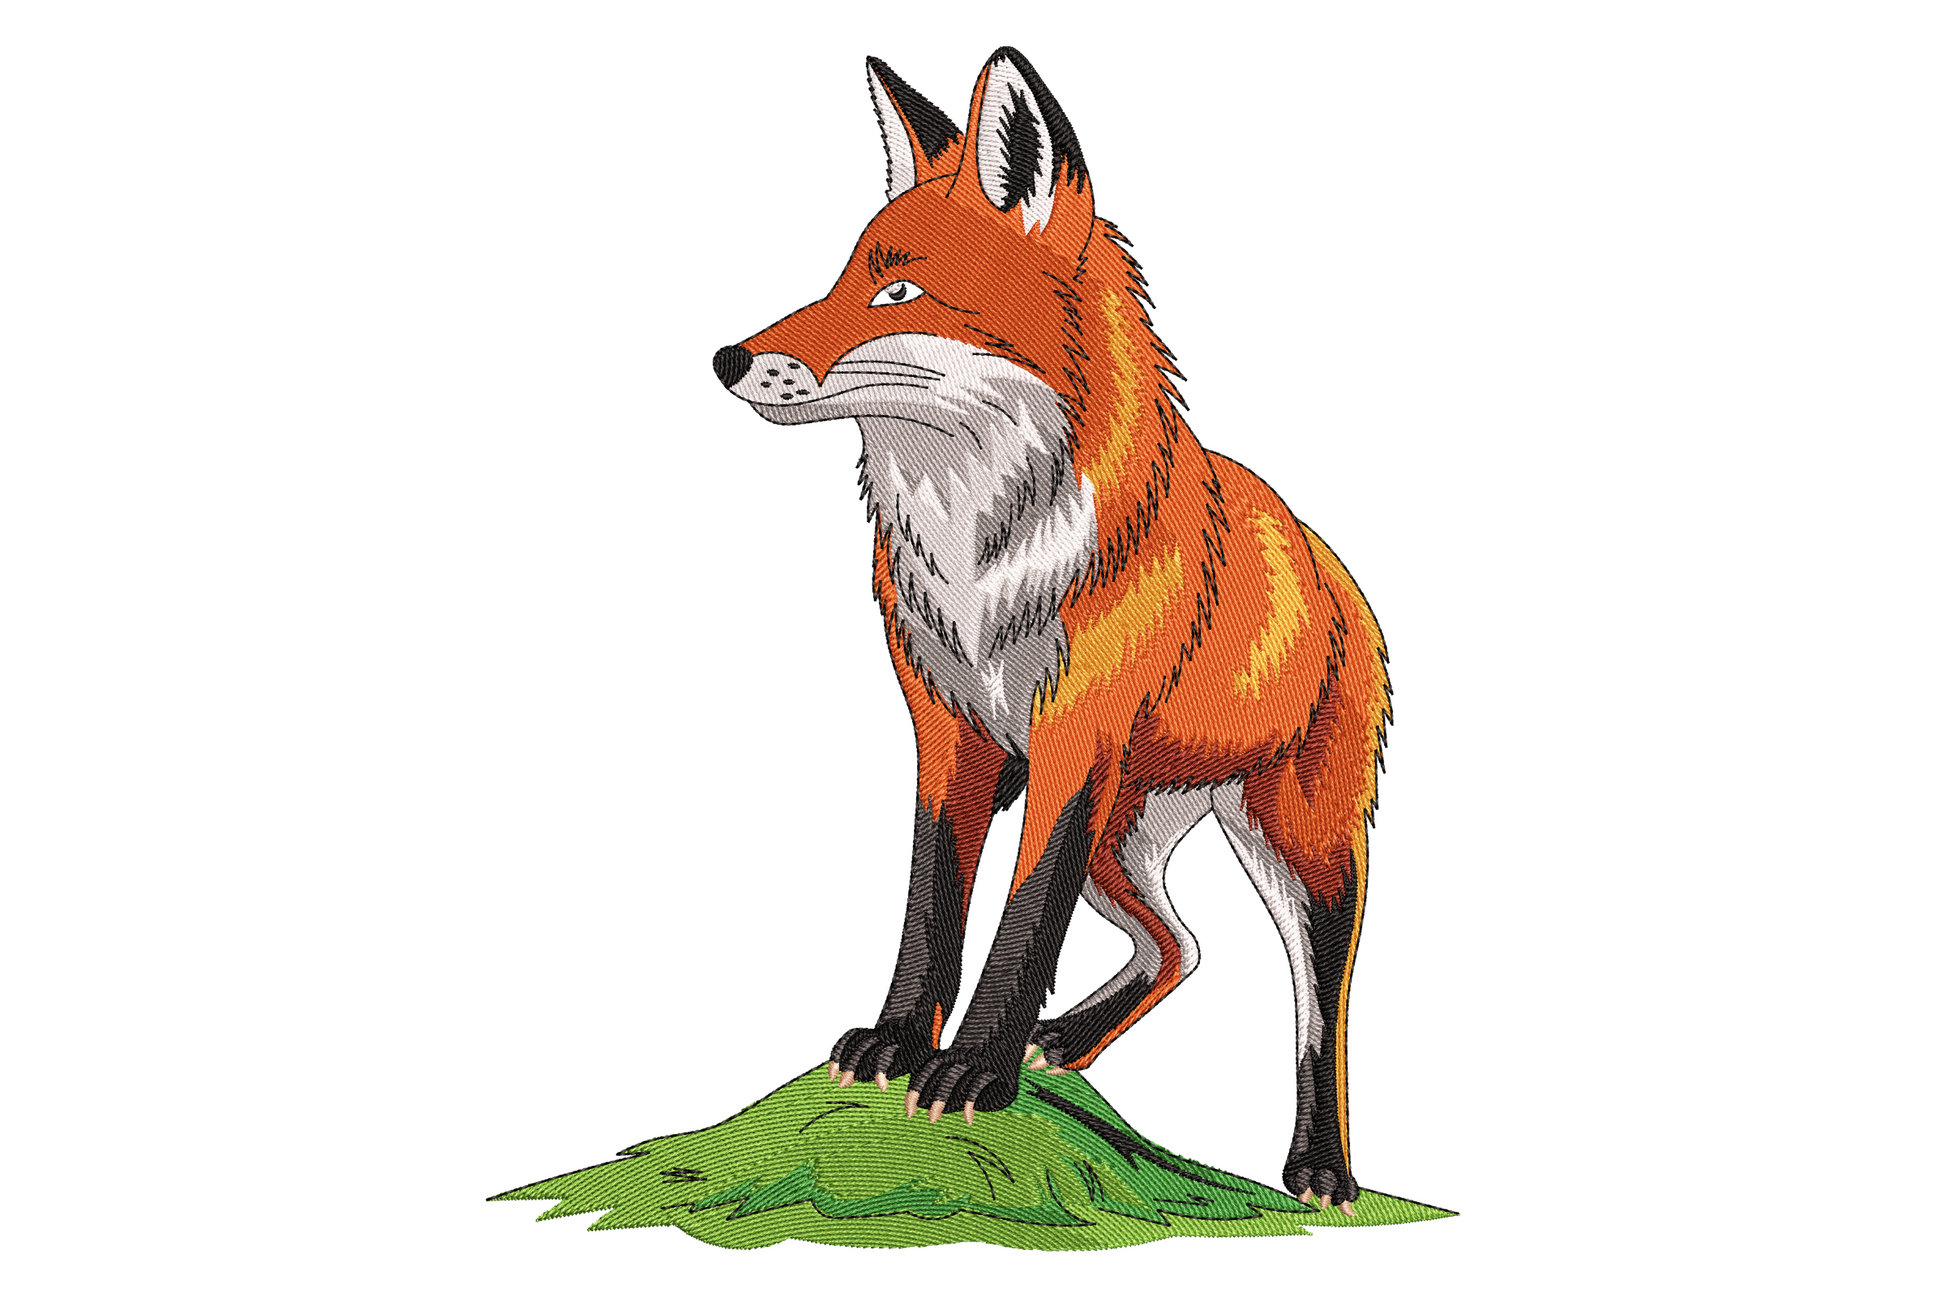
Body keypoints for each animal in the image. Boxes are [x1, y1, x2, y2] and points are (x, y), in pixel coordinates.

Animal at [710, 48, 1391, 1215]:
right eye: (838, 279)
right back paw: (1064, 1039)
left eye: (897, 291)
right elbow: (933, 904)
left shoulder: (1075, 733)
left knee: (1321, 1005)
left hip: (1299, 847)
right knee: (1180, 945)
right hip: (1123, 837)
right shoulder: (951, 734)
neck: (985, 558)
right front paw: (900, 1042)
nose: (725, 357)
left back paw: (1319, 1166)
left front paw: (970, 1069)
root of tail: (1336, 570)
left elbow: (1023, 920)